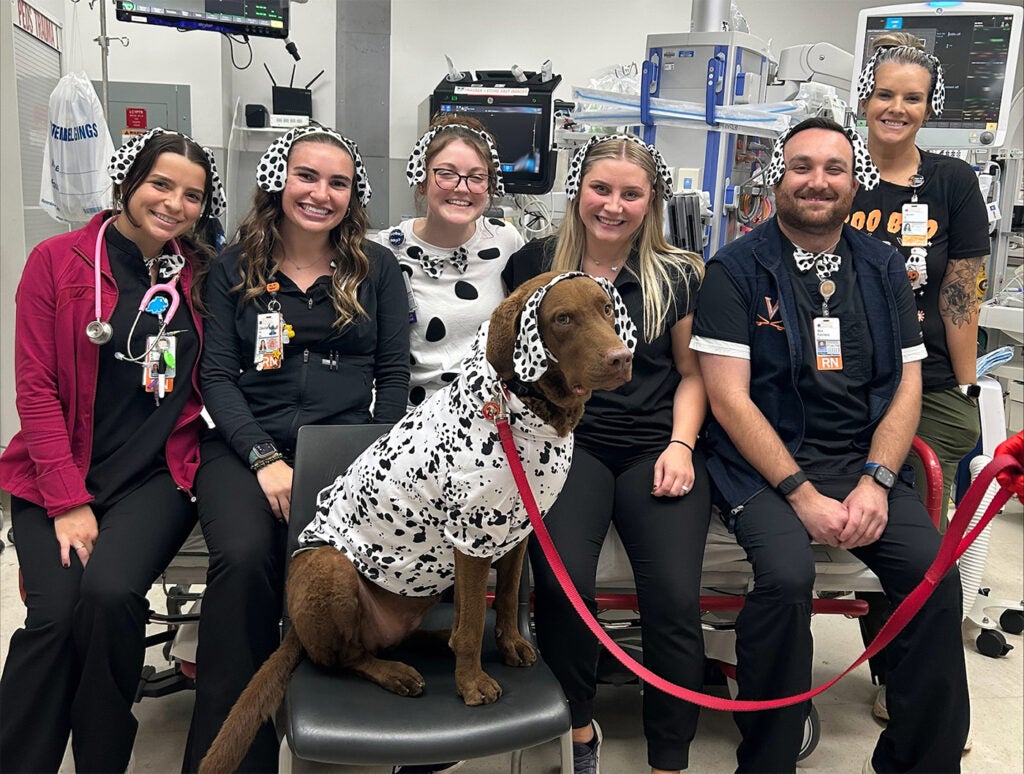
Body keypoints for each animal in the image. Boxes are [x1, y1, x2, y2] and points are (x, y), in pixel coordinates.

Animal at [198, 272, 630, 774]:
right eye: (562, 319)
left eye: (606, 308)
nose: (622, 358)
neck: (522, 408)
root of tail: (296, 635)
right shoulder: (472, 537)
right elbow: (471, 623)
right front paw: (472, 684)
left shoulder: (519, 532)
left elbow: (504, 599)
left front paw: (509, 645)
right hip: (328, 569)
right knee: (348, 657)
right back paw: (398, 672)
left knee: (405, 635)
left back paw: (438, 640)